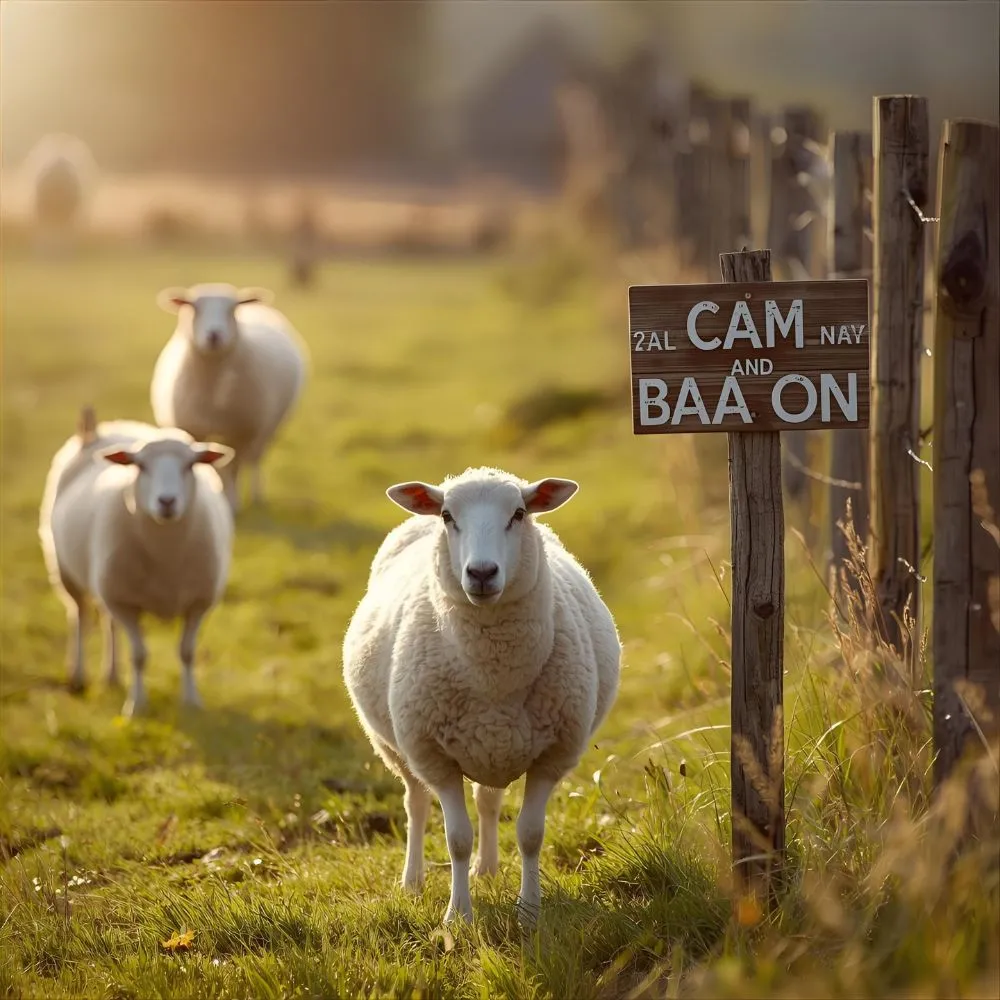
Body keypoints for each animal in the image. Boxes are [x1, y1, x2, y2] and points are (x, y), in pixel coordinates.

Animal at [38, 406, 235, 717]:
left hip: (107, 584)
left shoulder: (198, 603)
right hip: (66, 571)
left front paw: (191, 702)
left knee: (108, 624)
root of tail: (101, 430)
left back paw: (111, 676)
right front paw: (137, 705)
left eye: (191, 465)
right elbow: (140, 655)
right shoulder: (125, 603)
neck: (167, 553)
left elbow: (187, 652)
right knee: (80, 618)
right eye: (140, 466)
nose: (166, 501)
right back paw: (79, 677)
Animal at [150, 283, 308, 512]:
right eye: (193, 307)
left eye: (232, 308)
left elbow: (233, 468)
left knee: (255, 459)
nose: (214, 335)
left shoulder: (240, 431)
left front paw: (233, 503)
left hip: (269, 427)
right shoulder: (194, 428)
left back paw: (257, 496)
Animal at [342, 466, 621, 925]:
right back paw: (413, 880)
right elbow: (456, 837)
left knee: (488, 801)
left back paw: (487, 869)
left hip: (493, 747)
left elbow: (530, 834)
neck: (495, 680)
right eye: (448, 516)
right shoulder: (435, 758)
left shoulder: (551, 756)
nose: (483, 573)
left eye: (519, 513)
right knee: (416, 803)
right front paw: (458, 916)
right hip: (397, 748)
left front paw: (530, 912)